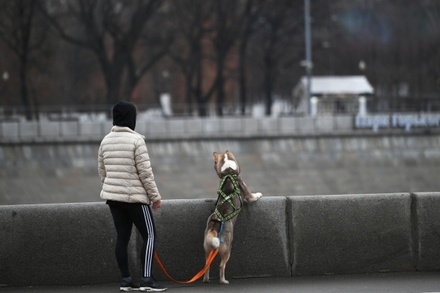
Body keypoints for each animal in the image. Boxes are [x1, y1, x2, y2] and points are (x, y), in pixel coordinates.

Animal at [203, 151, 262, 282]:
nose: (214, 152)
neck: (229, 173)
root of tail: (215, 224)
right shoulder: (247, 192)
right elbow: (252, 196)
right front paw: (259, 194)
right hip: (227, 249)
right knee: (221, 265)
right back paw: (223, 281)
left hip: (207, 248)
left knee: (206, 265)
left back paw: (206, 279)